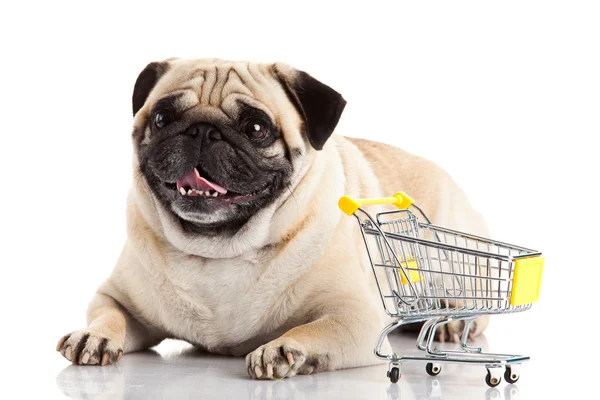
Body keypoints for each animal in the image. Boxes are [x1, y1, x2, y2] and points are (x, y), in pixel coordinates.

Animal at [56, 57, 490, 378]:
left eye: (256, 128)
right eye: (162, 118)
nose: (202, 130)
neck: (218, 249)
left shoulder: (357, 315)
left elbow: (314, 327)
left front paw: (283, 348)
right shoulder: (117, 296)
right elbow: (109, 313)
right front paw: (94, 336)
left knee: (471, 311)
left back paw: (450, 323)